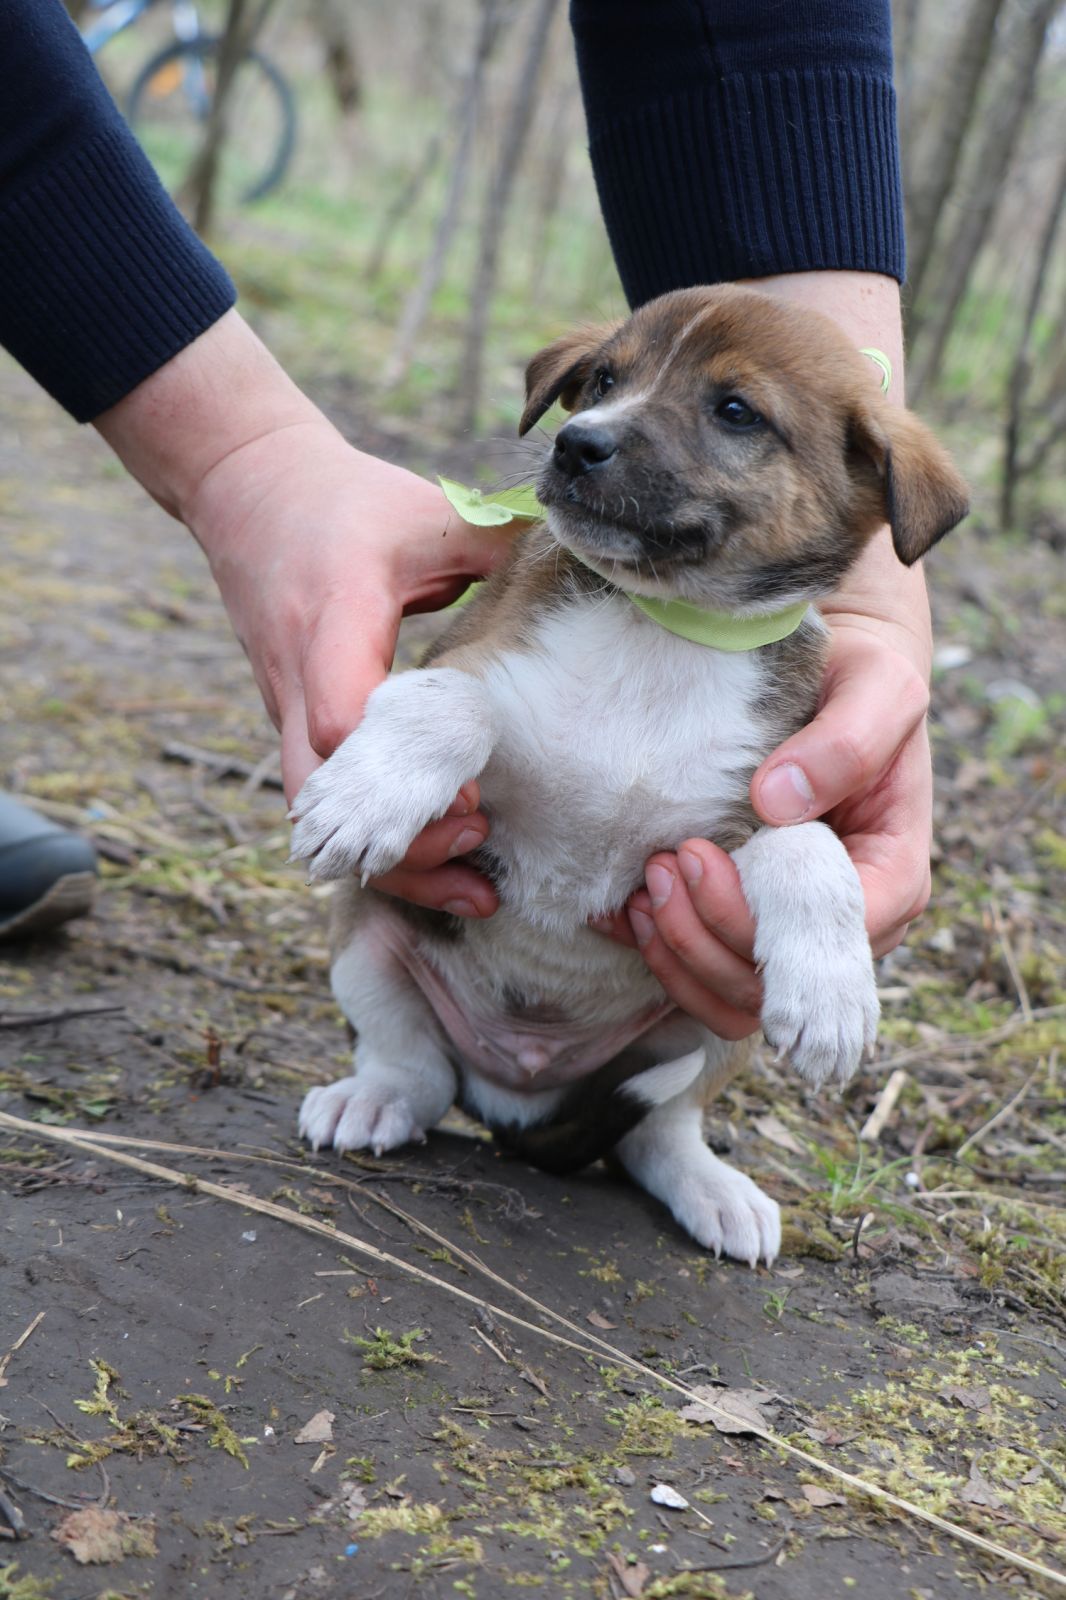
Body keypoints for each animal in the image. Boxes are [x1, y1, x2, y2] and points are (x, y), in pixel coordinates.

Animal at [286, 288, 966, 1260]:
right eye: (604, 380)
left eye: (736, 411)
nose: (577, 444)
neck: (664, 629)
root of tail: (519, 1089)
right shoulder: (467, 672)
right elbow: (452, 702)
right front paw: (363, 799)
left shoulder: (744, 811)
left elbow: (806, 841)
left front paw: (833, 991)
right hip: (367, 944)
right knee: (415, 1066)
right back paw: (372, 1099)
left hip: (712, 1031)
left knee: (656, 1127)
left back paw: (713, 1189)